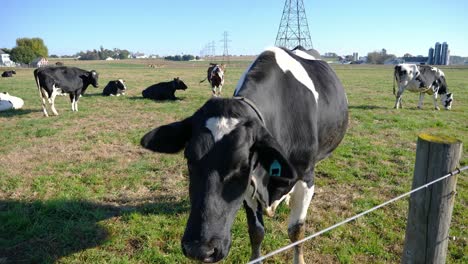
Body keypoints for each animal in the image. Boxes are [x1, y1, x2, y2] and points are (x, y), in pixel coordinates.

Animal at [141, 46, 350, 262]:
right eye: (188, 159)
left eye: (242, 165)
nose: (199, 250)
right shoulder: (251, 186)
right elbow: (256, 231)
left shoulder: (305, 178)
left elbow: (296, 231)